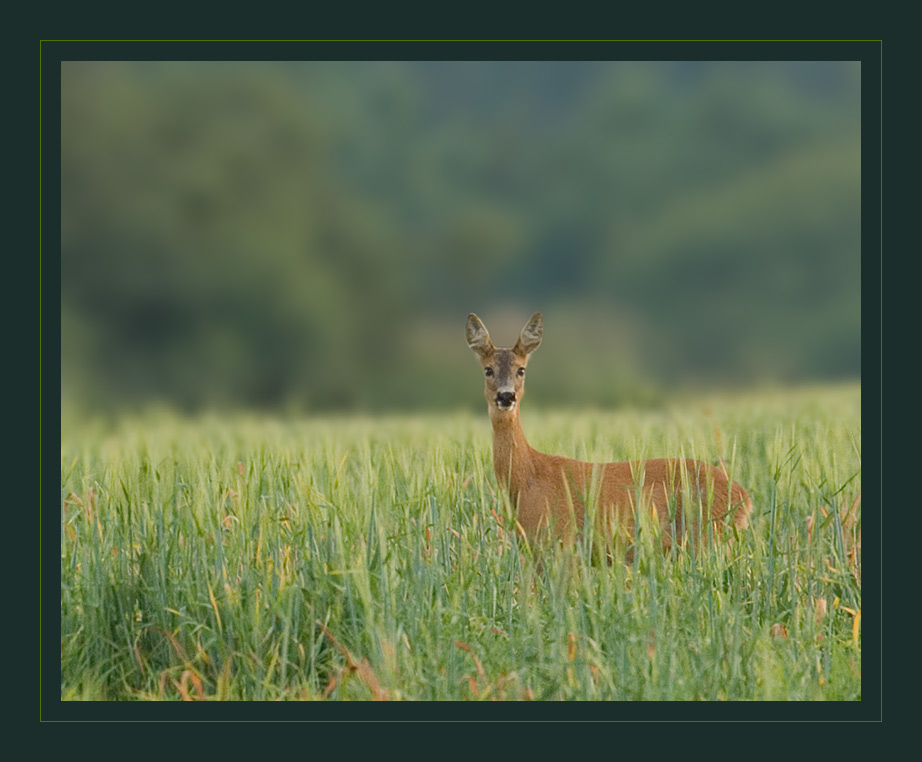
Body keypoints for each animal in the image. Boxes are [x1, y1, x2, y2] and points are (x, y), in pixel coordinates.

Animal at [464, 310, 752, 560]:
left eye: (521, 370)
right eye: (488, 370)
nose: (506, 396)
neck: (528, 478)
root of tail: (745, 498)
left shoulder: (562, 543)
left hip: (706, 537)